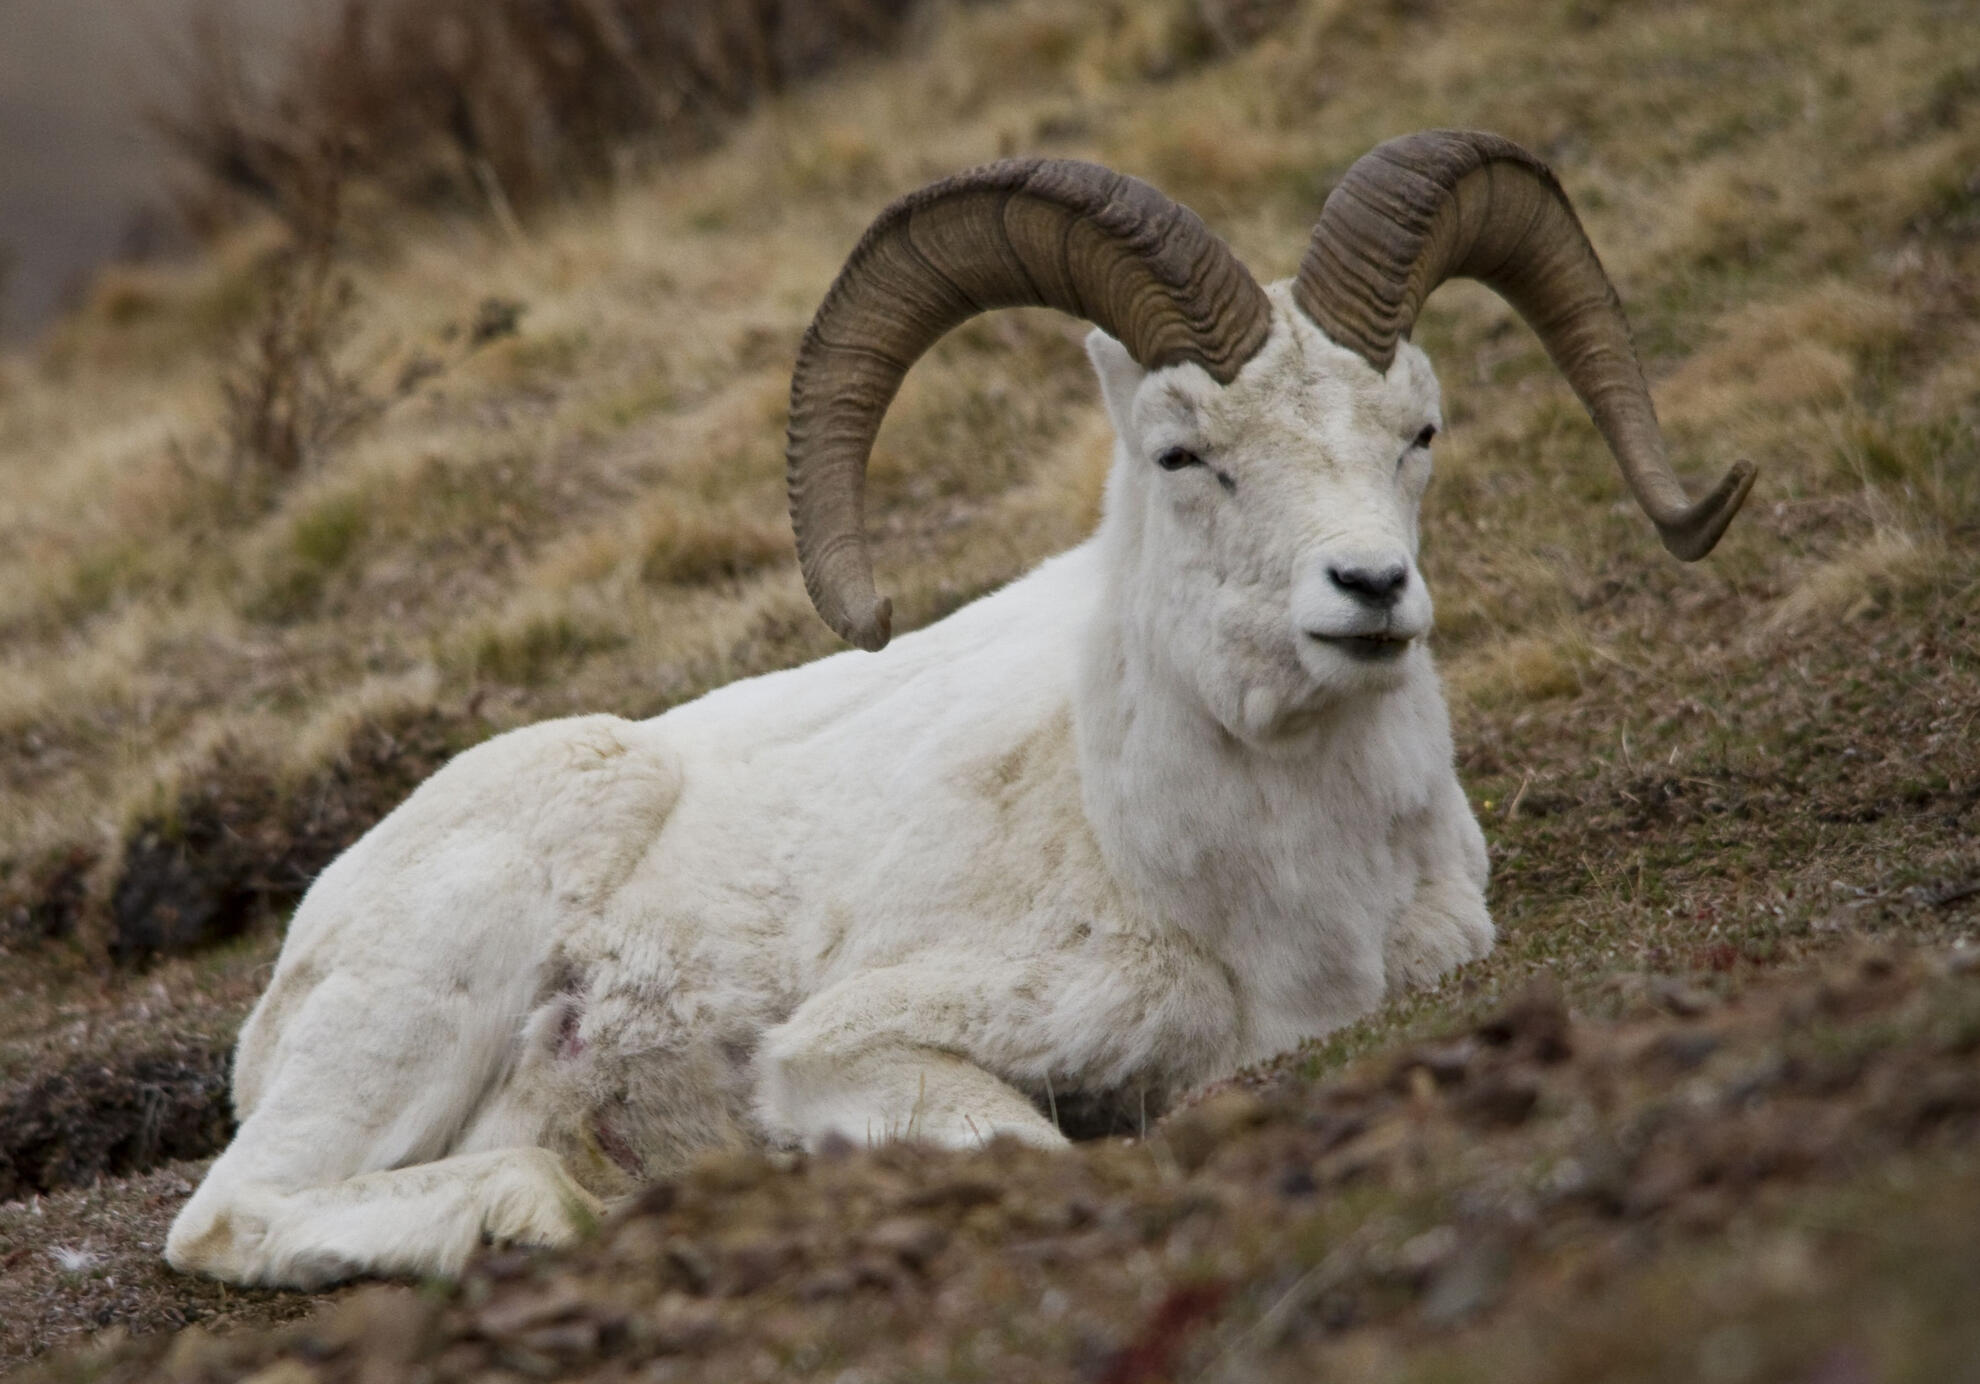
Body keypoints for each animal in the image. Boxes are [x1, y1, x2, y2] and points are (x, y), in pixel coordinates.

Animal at [166, 129, 1750, 1290]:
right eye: (1181, 453)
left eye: (1418, 431)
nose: (1368, 589)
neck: (1262, 901)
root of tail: (292, 963)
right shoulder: (855, 1050)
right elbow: (1032, 1151)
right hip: (447, 960)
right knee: (233, 1214)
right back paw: (549, 1206)